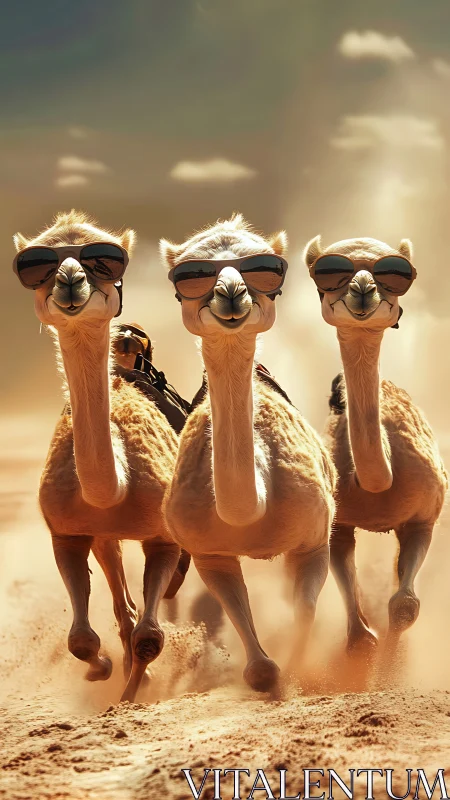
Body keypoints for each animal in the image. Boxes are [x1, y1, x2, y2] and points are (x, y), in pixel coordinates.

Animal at [13, 210, 186, 702]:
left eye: (107, 261)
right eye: (37, 264)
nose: (70, 282)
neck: (114, 491)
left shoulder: (163, 536)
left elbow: (150, 636)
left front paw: (132, 693)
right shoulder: (66, 533)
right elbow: (82, 640)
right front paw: (103, 669)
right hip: (103, 539)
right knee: (119, 597)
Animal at [160, 214, 336, 692]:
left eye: (264, 268)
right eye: (190, 273)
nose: (231, 293)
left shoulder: (314, 539)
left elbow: (305, 611)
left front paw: (300, 671)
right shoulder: (209, 553)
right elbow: (259, 668)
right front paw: (268, 672)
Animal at [304, 234, 447, 652]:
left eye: (396, 274)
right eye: (325, 275)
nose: (363, 289)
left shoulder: (424, 517)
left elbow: (404, 606)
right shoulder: (339, 524)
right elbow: (359, 636)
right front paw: (365, 639)